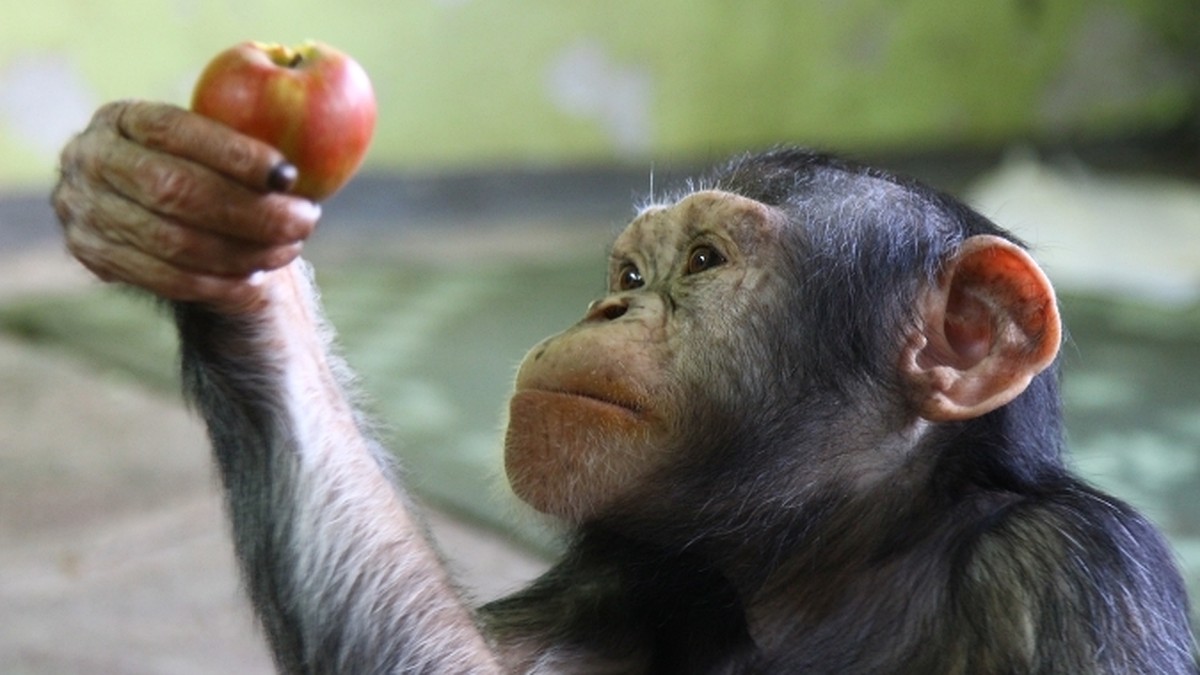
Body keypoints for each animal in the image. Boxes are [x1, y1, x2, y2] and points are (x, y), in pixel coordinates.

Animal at [51, 100, 1195, 672]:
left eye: (705, 262)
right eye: (632, 274)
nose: (609, 309)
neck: (835, 555)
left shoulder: (1078, 574)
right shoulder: (622, 575)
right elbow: (456, 662)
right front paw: (179, 209)